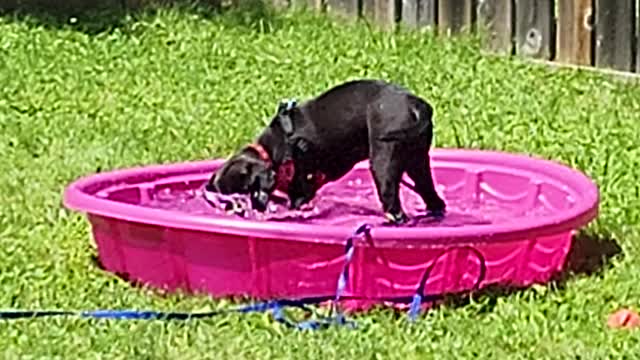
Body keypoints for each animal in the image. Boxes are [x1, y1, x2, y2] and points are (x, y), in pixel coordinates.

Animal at [206, 80, 444, 224]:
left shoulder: (301, 190)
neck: (273, 148)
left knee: (393, 204)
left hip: (383, 163)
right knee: (432, 196)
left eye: (247, 188)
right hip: (417, 162)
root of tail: (417, 105)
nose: (248, 208)